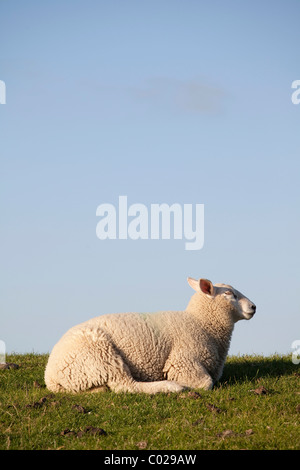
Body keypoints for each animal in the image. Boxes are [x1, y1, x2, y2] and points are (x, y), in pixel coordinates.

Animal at [44, 278, 255, 394]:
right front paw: (182, 384)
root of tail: (50, 376)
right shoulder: (182, 361)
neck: (201, 323)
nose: (253, 306)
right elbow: (206, 383)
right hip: (102, 356)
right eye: (229, 293)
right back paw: (170, 387)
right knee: (126, 386)